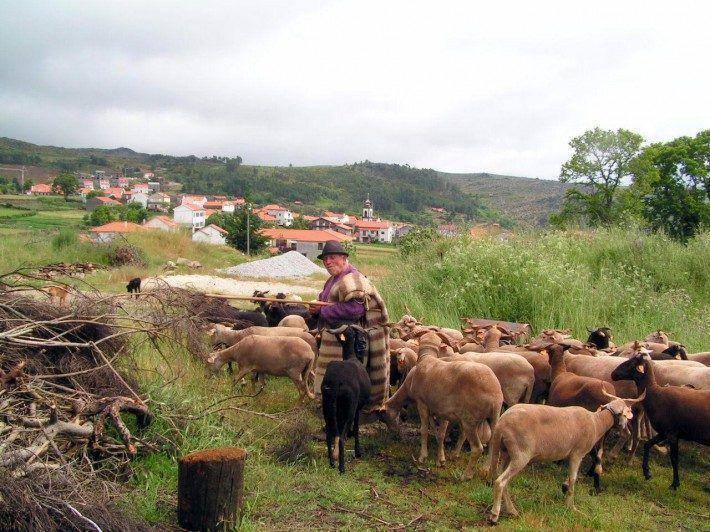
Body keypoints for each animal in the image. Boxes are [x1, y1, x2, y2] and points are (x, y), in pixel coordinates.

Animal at [324, 324, 376, 474]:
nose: (363, 344)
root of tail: (336, 381)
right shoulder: (357, 408)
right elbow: (357, 427)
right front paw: (358, 452)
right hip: (349, 408)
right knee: (341, 437)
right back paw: (342, 468)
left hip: (328, 406)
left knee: (329, 435)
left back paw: (332, 463)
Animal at [490, 394, 644, 524]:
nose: (625, 428)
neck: (597, 422)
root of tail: (501, 424)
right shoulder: (577, 453)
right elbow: (573, 479)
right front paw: (571, 506)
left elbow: (570, 478)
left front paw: (565, 488)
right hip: (521, 453)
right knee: (500, 481)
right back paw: (494, 516)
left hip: (506, 453)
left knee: (501, 479)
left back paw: (512, 510)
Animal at [612, 354, 710, 490]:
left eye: (630, 363)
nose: (613, 374)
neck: (654, 393)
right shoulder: (664, 432)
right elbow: (647, 444)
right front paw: (647, 472)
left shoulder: (672, 434)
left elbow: (674, 458)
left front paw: (674, 484)